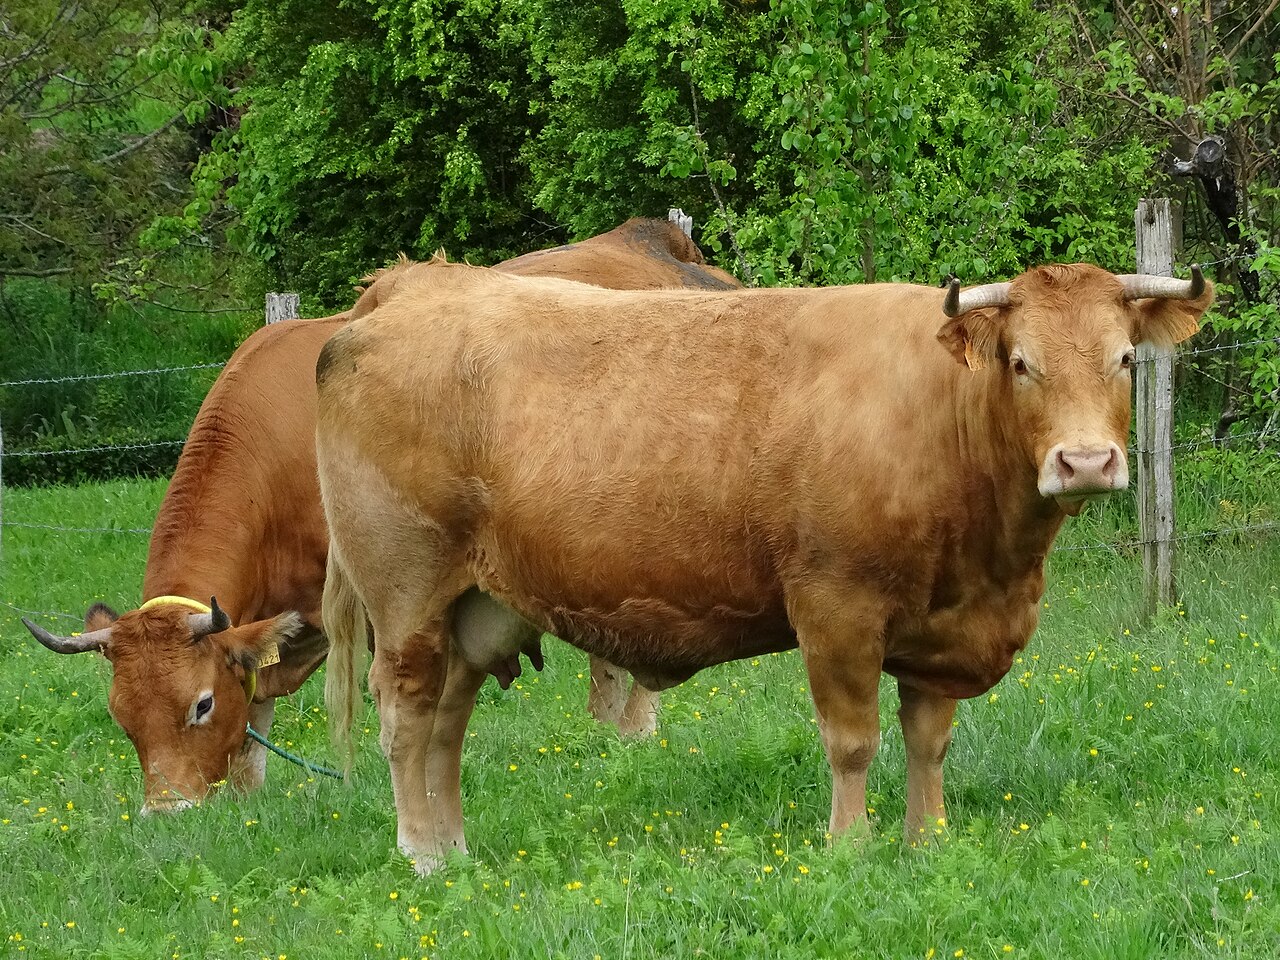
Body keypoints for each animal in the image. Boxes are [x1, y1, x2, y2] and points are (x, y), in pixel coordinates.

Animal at [21, 218, 741, 814]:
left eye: (199, 705)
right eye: (121, 717)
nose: (167, 812)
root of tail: (659, 242)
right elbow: (257, 714)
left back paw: (636, 734)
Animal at [314, 261, 1211, 872]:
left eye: (1125, 359)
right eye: (1022, 362)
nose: (1086, 462)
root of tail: (410, 288)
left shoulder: (939, 629)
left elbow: (928, 743)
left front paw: (927, 841)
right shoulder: (837, 609)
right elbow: (853, 742)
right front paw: (850, 846)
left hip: (475, 606)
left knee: (447, 723)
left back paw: (456, 850)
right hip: (406, 597)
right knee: (405, 718)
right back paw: (420, 855)